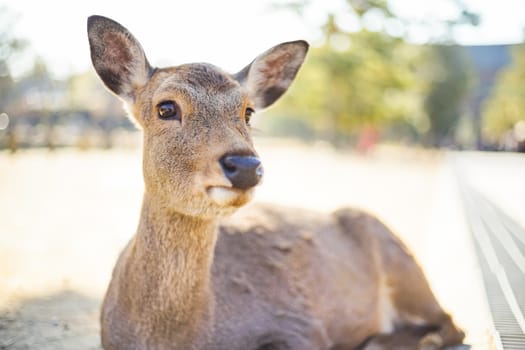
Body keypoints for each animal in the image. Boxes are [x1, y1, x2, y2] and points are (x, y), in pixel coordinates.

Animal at [88, 15, 464, 348]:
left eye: (248, 112)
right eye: (166, 108)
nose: (245, 165)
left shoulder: (301, 326)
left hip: (399, 258)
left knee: (451, 323)